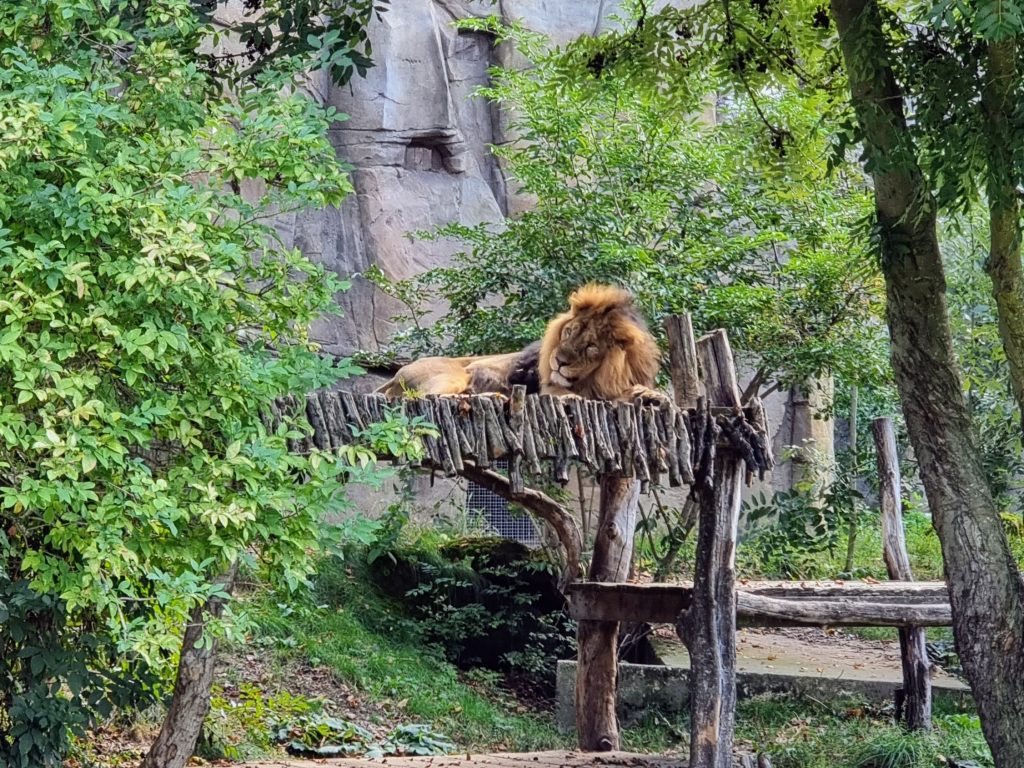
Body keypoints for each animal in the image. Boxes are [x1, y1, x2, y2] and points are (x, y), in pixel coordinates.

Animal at [376, 284, 664, 402]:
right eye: (568, 332)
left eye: (592, 346)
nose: (558, 362)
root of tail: (397, 374)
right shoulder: (549, 389)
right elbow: (575, 396)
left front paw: (651, 395)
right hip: (451, 376)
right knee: (426, 397)